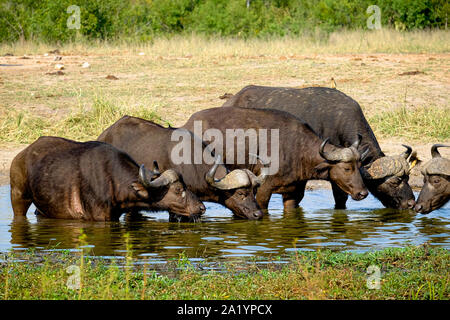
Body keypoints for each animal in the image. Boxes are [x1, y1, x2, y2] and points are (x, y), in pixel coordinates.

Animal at [183, 107, 370, 211]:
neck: (297, 150)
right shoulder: (264, 190)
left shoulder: (294, 194)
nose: (363, 193)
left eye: (360, 165)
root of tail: (188, 124)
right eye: (347, 168)